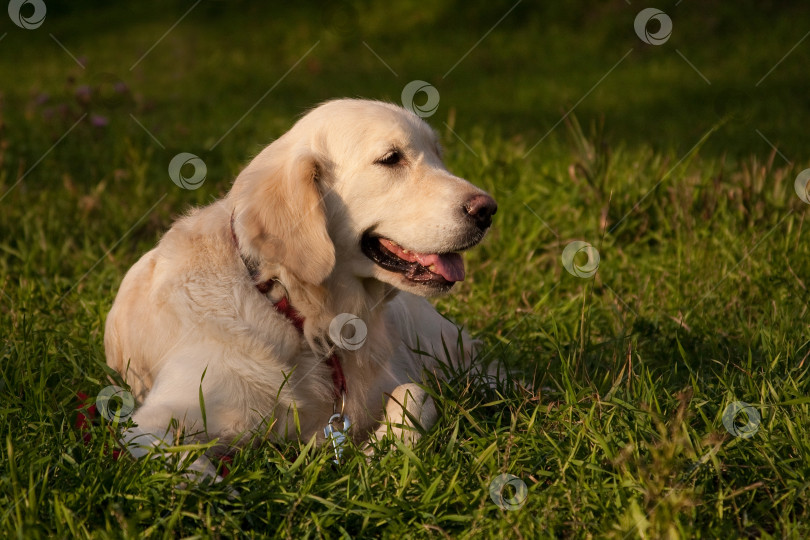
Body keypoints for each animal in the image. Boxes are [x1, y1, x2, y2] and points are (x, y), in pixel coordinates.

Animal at [104, 99, 496, 478]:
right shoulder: (153, 421)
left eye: (438, 154)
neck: (293, 309)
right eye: (391, 158)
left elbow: (416, 393)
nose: (488, 210)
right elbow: (195, 471)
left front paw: (376, 455)